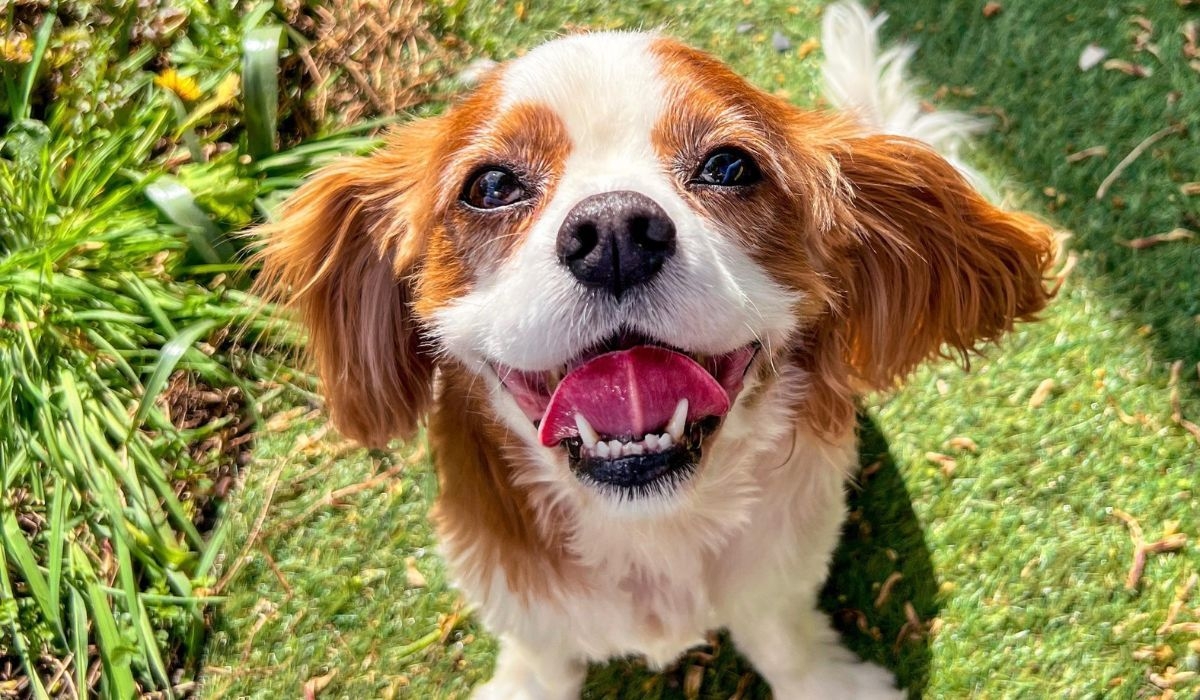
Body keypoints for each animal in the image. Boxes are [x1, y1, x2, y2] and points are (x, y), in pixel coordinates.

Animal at [253, 2, 1051, 696]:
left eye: (729, 167)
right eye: (492, 184)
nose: (613, 232)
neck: (652, 527)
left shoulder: (782, 567)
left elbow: (781, 634)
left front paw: (825, 683)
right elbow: (543, 654)